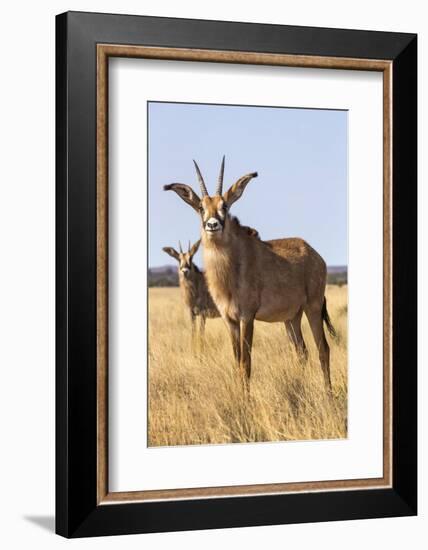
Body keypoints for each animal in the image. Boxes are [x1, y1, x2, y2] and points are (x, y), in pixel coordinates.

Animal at [164, 156, 334, 392]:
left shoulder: (247, 317)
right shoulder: (230, 320)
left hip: (313, 307)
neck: (231, 267)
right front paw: (239, 396)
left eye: (224, 205)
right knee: (302, 352)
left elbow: (246, 363)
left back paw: (328, 394)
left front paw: (246, 398)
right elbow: (236, 362)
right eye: (200, 207)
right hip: (292, 318)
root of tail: (314, 254)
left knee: (323, 349)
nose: (212, 225)